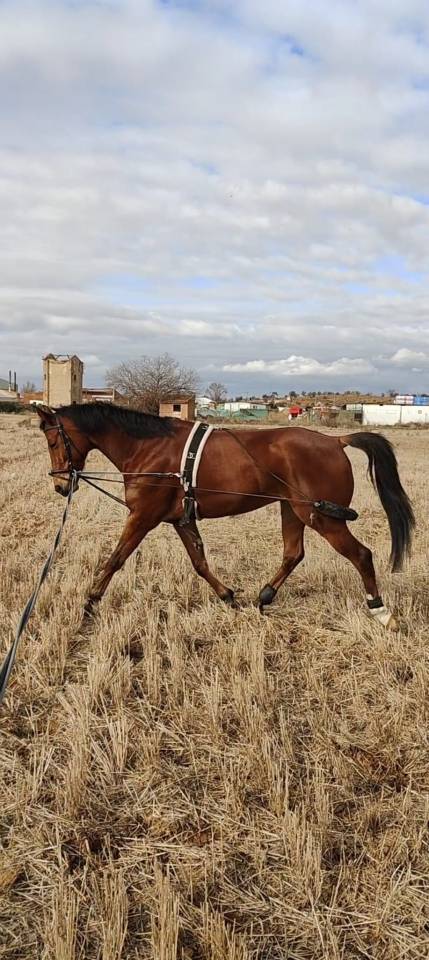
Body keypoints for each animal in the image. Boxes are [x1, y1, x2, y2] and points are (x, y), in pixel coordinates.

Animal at [36, 402, 414, 629]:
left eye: (54, 441)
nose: (59, 486)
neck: (148, 447)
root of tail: (336, 441)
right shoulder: (181, 520)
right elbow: (200, 563)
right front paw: (227, 596)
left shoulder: (143, 517)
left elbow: (116, 559)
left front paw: (90, 603)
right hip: (293, 510)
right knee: (293, 553)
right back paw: (265, 596)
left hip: (321, 517)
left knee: (361, 555)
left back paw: (380, 611)